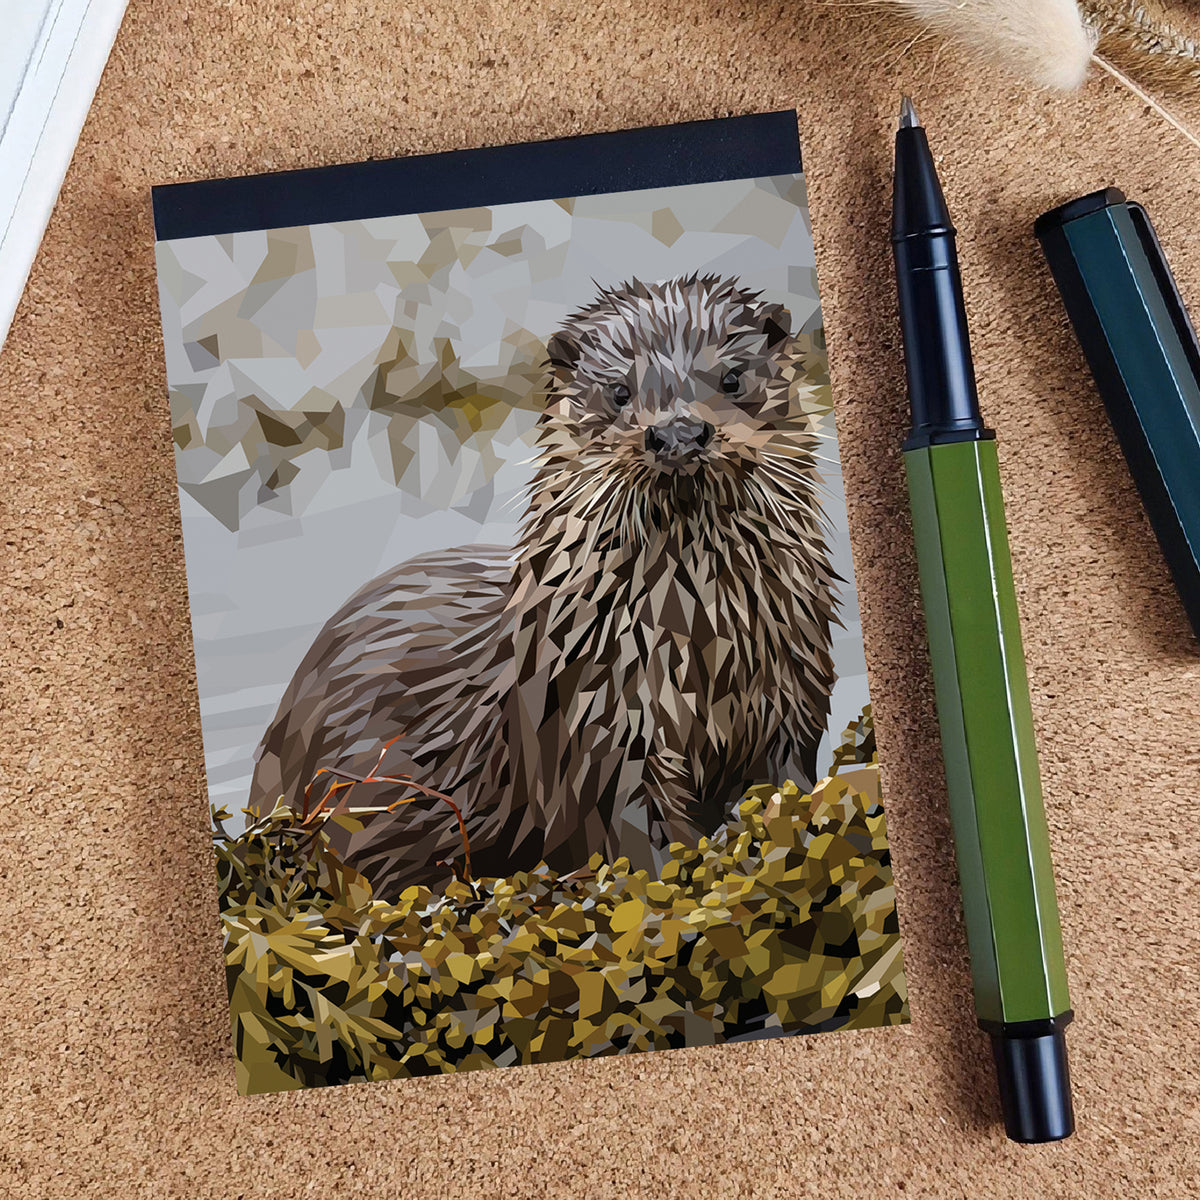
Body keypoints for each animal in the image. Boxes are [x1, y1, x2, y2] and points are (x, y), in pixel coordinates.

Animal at [249, 275, 837, 899]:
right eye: (618, 392)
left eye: (731, 377)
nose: (678, 433)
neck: (702, 642)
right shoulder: (598, 726)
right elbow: (633, 833)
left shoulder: (793, 695)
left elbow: (790, 777)